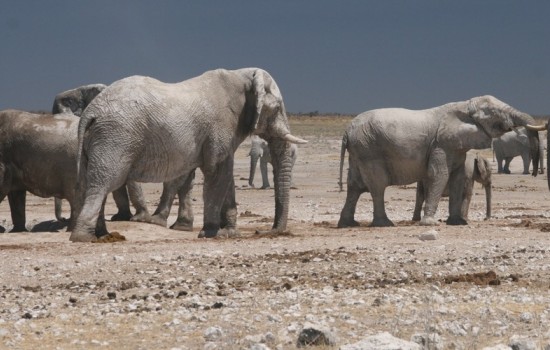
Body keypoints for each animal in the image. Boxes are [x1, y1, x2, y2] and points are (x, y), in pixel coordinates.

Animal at [71, 67, 308, 242]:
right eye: (277, 109)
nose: (265, 231)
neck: (241, 75)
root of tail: (91, 112)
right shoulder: (220, 127)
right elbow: (217, 172)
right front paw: (211, 233)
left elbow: (226, 176)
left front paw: (230, 233)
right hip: (116, 137)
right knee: (103, 183)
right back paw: (84, 238)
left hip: (100, 140)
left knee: (93, 183)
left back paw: (103, 235)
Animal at [340, 95, 544, 227]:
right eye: (495, 113)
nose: (535, 174)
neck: (464, 105)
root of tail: (346, 132)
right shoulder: (441, 143)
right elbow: (440, 175)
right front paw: (429, 223)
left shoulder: (456, 146)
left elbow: (457, 178)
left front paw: (457, 223)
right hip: (369, 149)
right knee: (377, 186)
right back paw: (385, 224)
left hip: (359, 151)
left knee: (355, 186)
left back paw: (348, 224)